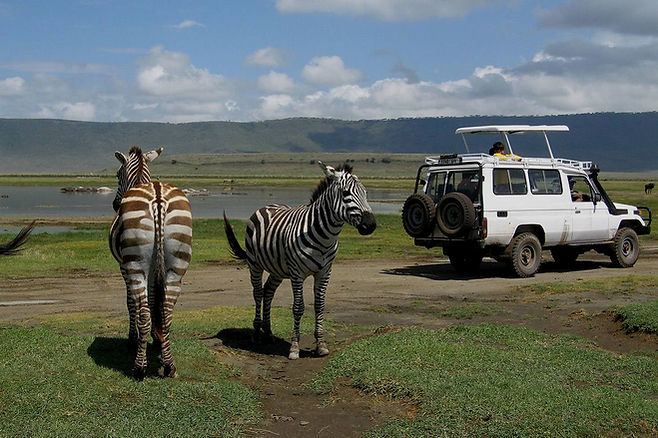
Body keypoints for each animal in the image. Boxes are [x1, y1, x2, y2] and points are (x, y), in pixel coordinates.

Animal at [109, 146, 192, 380]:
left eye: (118, 175)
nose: (115, 205)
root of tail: (157, 196)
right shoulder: (156, 269)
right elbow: (155, 299)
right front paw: (158, 341)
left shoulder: (124, 267)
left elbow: (131, 303)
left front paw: (132, 339)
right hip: (176, 266)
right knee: (167, 312)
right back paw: (169, 365)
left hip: (136, 265)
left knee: (144, 313)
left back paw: (139, 368)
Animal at [224, 161, 376, 360]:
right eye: (345, 193)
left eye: (365, 193)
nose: (370, 225)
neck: (325, 237)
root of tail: (267, 206)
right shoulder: (297, 273)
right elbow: (298, 307)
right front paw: (294, 348)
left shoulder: (325, 272)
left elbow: (319, 305)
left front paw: (321, 344)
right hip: (254, 264)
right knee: (257, 292)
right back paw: (257, 334)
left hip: (278, 269)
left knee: (268, 292)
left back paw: (269, 333)